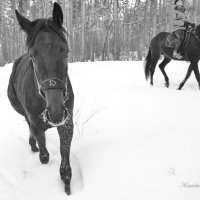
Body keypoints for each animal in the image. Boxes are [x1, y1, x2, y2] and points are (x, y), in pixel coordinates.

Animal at [7, 2, 74, 195]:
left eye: (66, 51)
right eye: (33, 55)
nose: (56, 112)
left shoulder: (67, 123)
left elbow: (64, 152)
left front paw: (66, 181)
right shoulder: (36, 123)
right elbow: (44, 153)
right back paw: (32, 144)